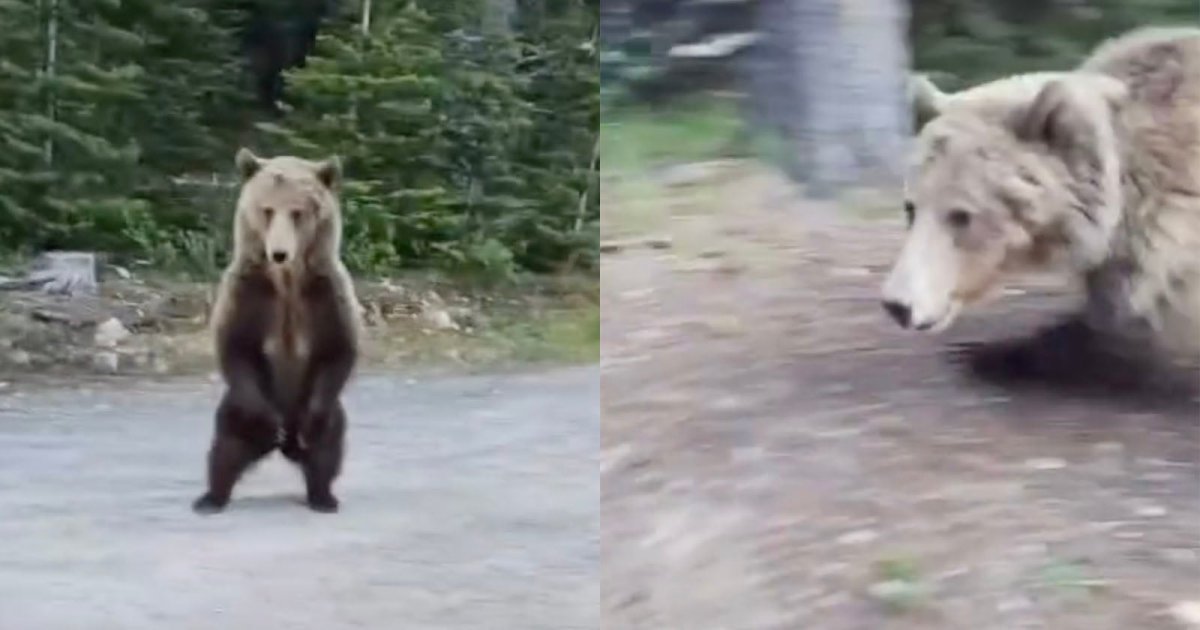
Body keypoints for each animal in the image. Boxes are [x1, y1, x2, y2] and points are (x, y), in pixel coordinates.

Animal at [193, 147, 362, 514]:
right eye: (267, 209)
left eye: (298, 212)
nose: (279, 253)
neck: (287, 281)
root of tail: (285, 449)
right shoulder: (249, 290)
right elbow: (236, 345)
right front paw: (267, 424)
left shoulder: (326, 293)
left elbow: (338, 348)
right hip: (236, 406)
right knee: (226, 444)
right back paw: (211, 497)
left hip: (323, 408)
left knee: (328, 447)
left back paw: (322, 496)